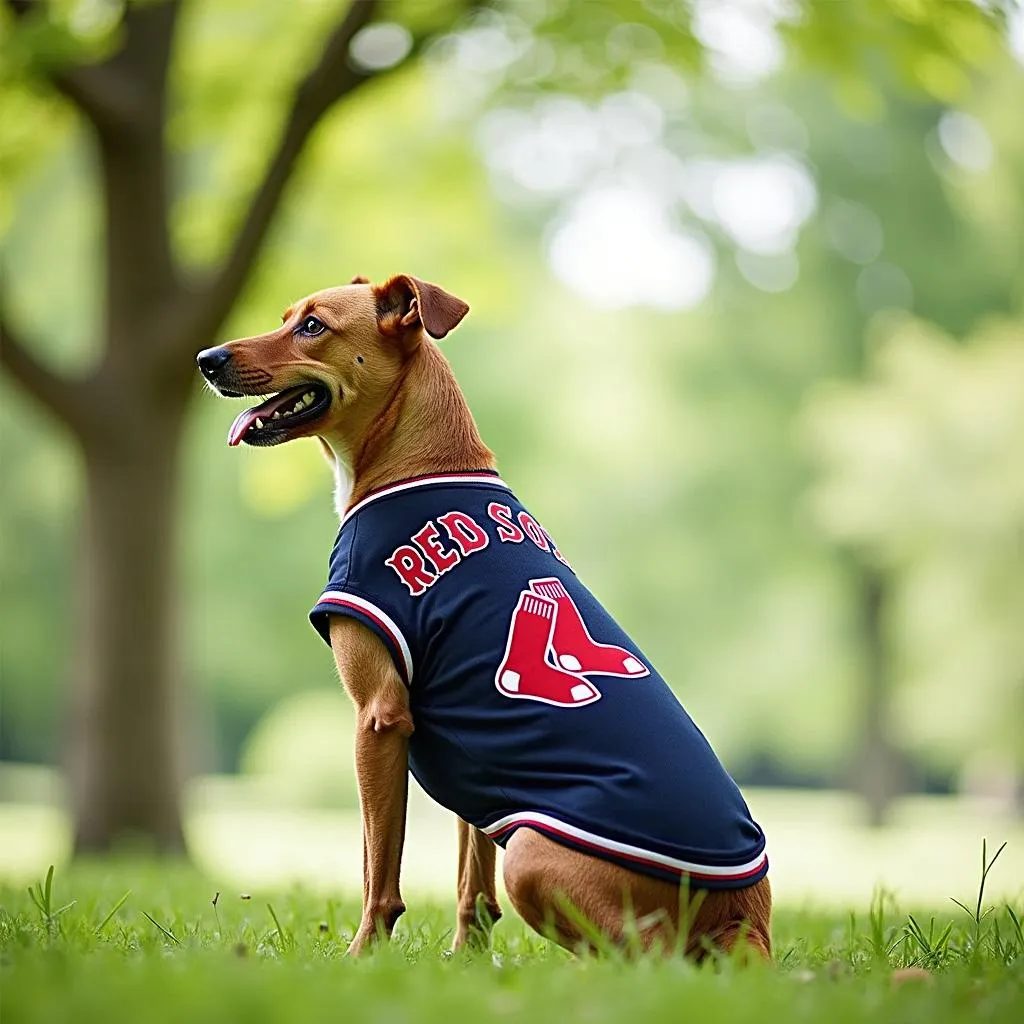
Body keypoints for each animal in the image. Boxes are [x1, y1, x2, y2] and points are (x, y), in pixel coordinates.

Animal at [195, 274, 770, 958]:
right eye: (287, 316)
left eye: (313, 326)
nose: (206, 359)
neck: (421, 462)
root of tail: (747, 917)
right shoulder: (473, 751)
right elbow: (471, 873)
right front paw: (465, 960)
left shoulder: (379, 717)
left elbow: (377, 870)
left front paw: (362, 957)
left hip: (534, 855)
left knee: (645, 958)